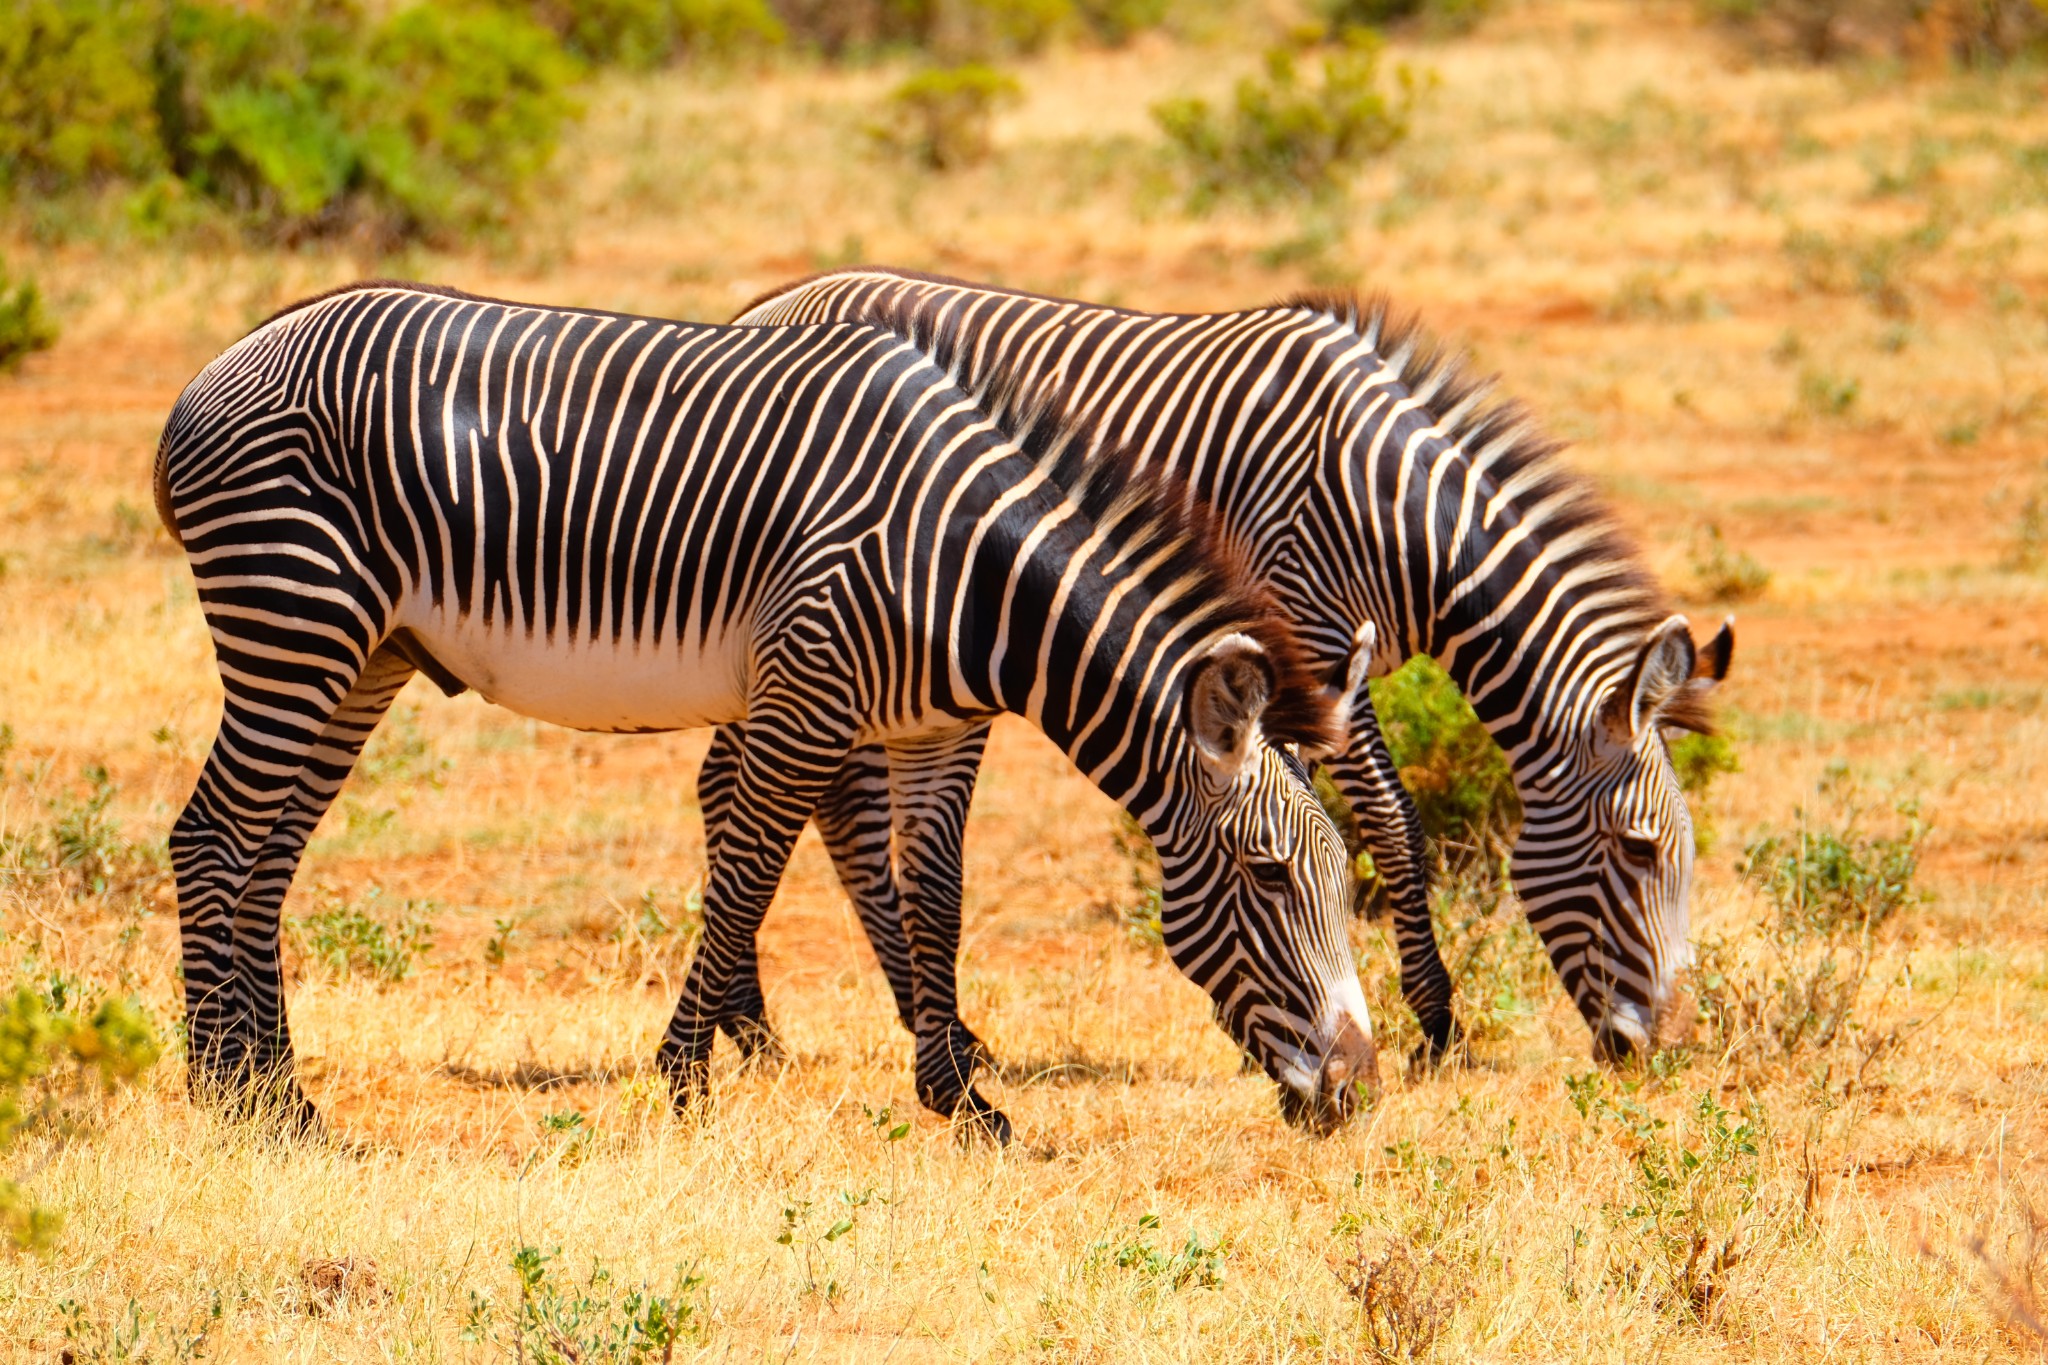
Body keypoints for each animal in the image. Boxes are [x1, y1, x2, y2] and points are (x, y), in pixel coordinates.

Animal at [155, 280, 1376, 1146]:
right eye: (1269, 875)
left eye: (1340, 877)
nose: (1358, 1085)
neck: (972, 566)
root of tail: (215, 370)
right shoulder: (806, 694)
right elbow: (746, 876)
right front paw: (685, 1080)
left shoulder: (930, 729)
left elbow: (936, 897)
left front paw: (960, 1098)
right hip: (295, 618)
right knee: (213, 836)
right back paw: (227, 1097)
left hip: (362, 655)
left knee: (267, 854)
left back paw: (279, 1094)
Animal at [712, 263, 1736, 1055]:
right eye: (1640, 849)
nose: (1669, 1045)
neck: (1395, 511)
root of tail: (767, 303)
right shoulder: (1309, 638)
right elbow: (1392, 823)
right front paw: (1433, 1021)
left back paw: (761, 1026)